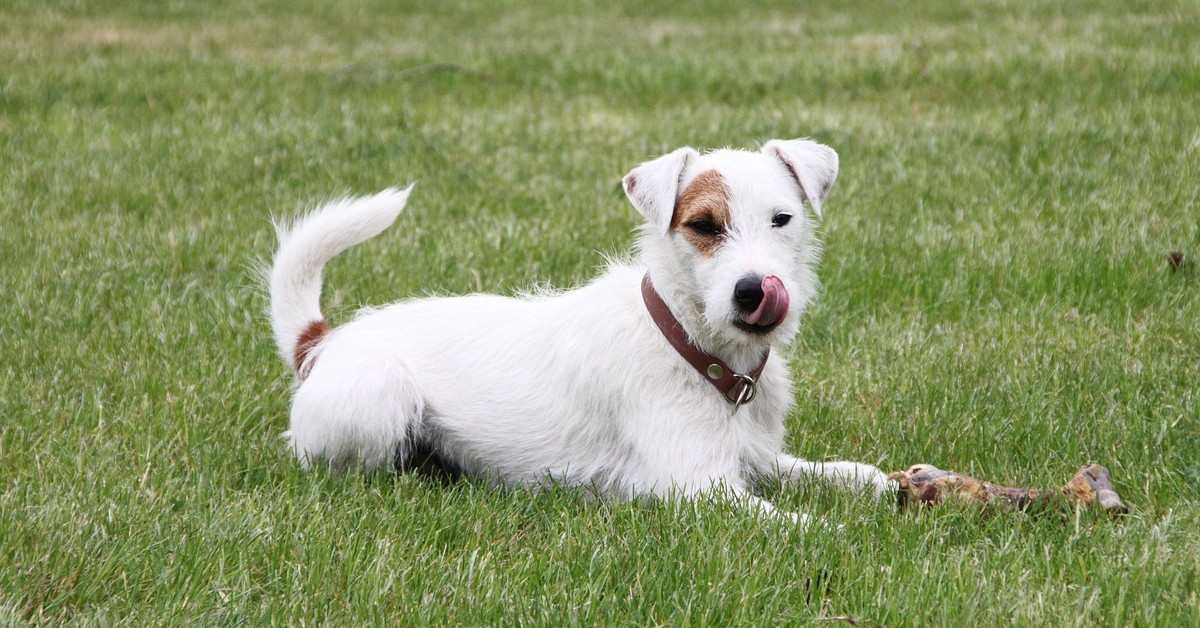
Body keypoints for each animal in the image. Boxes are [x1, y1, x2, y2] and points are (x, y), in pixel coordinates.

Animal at [272, 138, 892, 525]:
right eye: (703, 225)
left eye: (782, 219)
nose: (753, 290)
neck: (692, 345)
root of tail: (323, 341)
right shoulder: (700, 488)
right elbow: (802, 525)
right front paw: (855, 535)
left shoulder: (757, 460)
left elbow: (840, 473)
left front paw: (886, 487)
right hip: (381, 390)